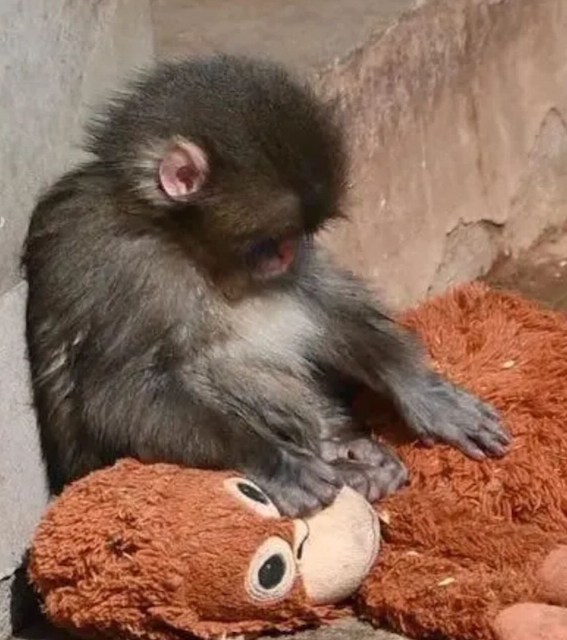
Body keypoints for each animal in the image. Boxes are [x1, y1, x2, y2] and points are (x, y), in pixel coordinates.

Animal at [22, 54, 511, 517]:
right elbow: (119, 393)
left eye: (297, 237)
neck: (177, 237)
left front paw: (420, 388)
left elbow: (319, 297)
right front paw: (275, 461)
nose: (288, 255)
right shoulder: (124, 266)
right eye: (269, 242)